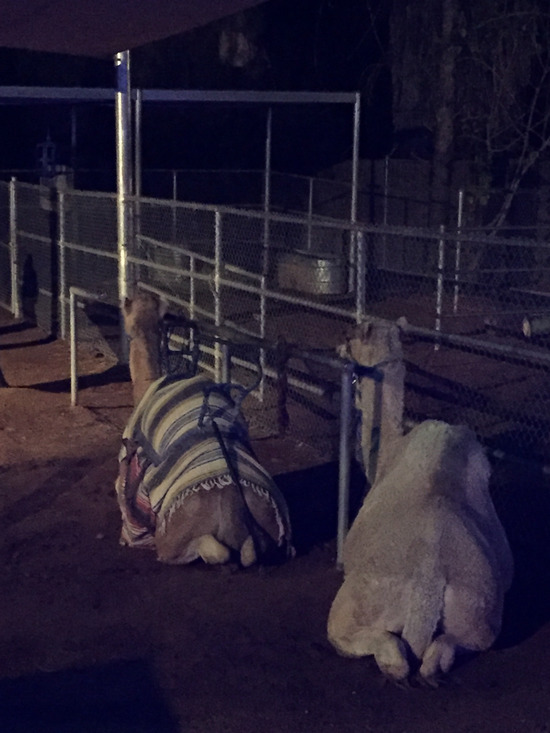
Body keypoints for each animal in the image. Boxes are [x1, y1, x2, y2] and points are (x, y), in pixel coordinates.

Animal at [327, 317, 513, 684]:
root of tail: (430, 577)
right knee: (445, 649)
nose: (337, 345)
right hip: (479, 615)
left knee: (376, 645)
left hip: (359, 600)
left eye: (351, 334)